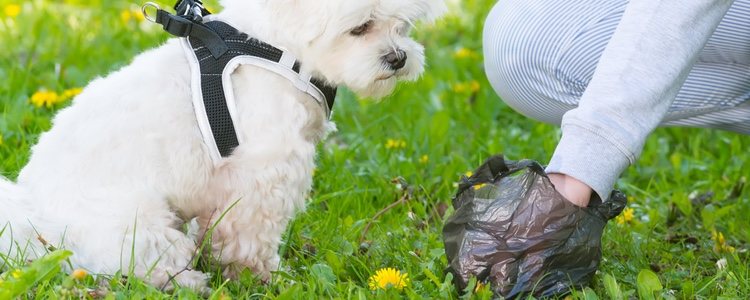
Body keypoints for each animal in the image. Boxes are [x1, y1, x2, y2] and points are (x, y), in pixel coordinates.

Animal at [0, 0, 446, 292]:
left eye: (403, 26)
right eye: (360, 28)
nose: (398, 58)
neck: (275, 47)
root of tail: (33, 219)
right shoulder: (263, 172)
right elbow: (249, 237)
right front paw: (260, 277)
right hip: (139, 227)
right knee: (145, 264)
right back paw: (189, 280)